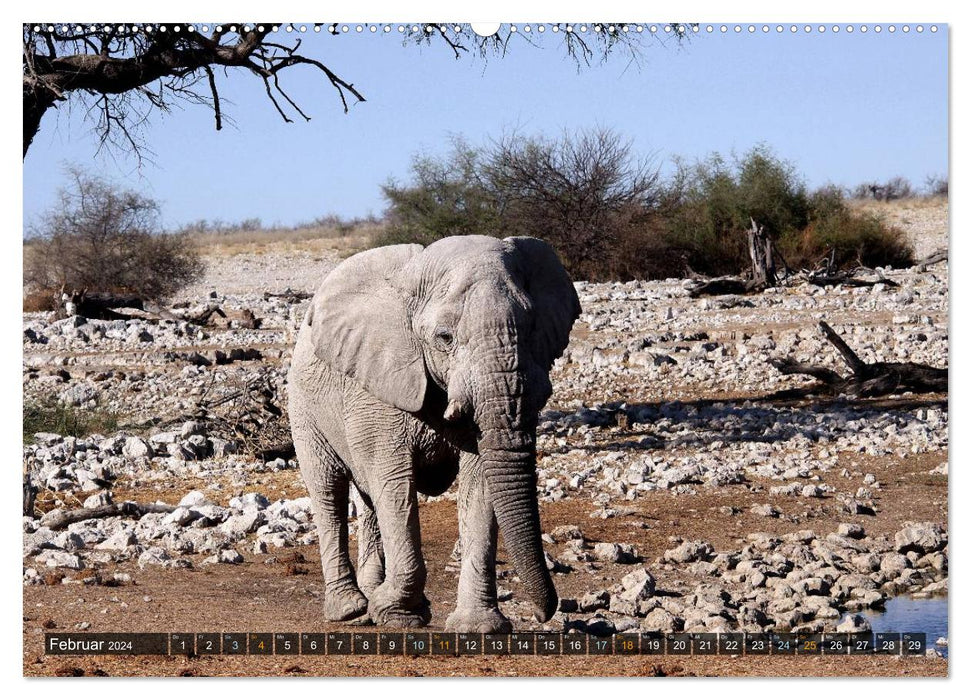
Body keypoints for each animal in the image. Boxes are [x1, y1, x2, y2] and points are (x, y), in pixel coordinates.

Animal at [284, 232, 580, 632]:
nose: (543, 612)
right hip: (303, 406)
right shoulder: (379, 387)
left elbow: (480, 486)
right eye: (445, 337)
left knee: (367, 500)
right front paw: (396, 614)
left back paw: (371, 594)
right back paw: (351, 610)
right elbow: (395, 485)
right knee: (328, 489)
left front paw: (477, 627)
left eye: (532, 327)